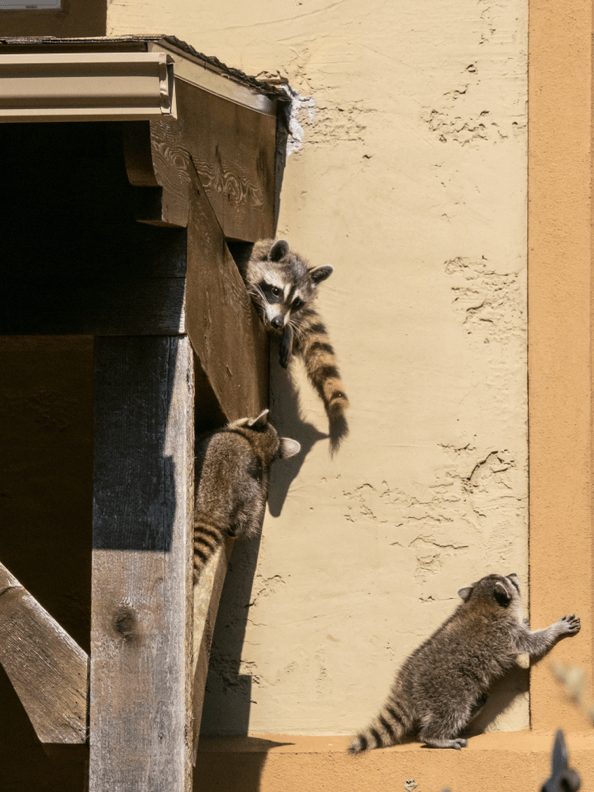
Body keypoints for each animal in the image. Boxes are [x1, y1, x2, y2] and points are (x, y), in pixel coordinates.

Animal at [346, 572, 580, 752]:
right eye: (510, 580)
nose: (514, 574)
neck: (480, 601)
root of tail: (406, 684)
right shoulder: (506, 633)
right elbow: (532, 643)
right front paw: (555, 629)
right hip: (446, 690)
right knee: (452, 711)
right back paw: (435, 737)